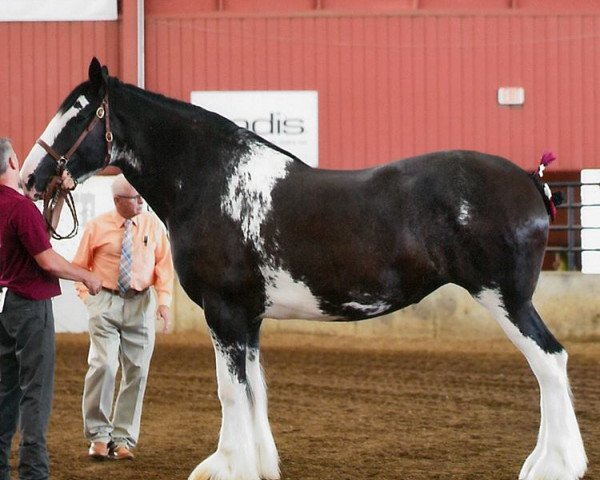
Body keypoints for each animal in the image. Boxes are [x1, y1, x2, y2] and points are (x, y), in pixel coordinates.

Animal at [19, 58, 584, 478]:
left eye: (78, 115)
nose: (28, 178)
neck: (210, 182)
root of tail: (531, 181)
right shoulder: (247, 317)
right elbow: (253, 387)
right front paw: (257, 464)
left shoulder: (224, 310)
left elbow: (230, 389)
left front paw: (226, 466)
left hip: (504, 298)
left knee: (550, 362)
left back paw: (553, 466)